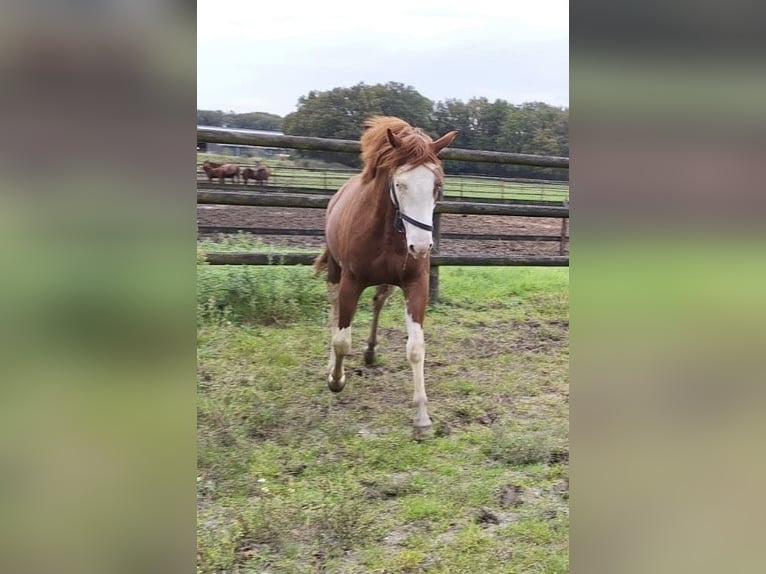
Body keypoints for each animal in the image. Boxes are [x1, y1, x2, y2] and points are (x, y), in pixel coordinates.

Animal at [314, 116, 460, 440]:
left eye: (437, 186)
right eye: (399, 184)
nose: (421, 246)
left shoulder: (415, 285)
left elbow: (416, 349)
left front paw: (422, 419)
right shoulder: (351, 282)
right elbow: (342, 340)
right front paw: (336, 380)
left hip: (389, 283)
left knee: (378, 301)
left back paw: (370, 352)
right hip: (335, 271)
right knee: (333, 312)